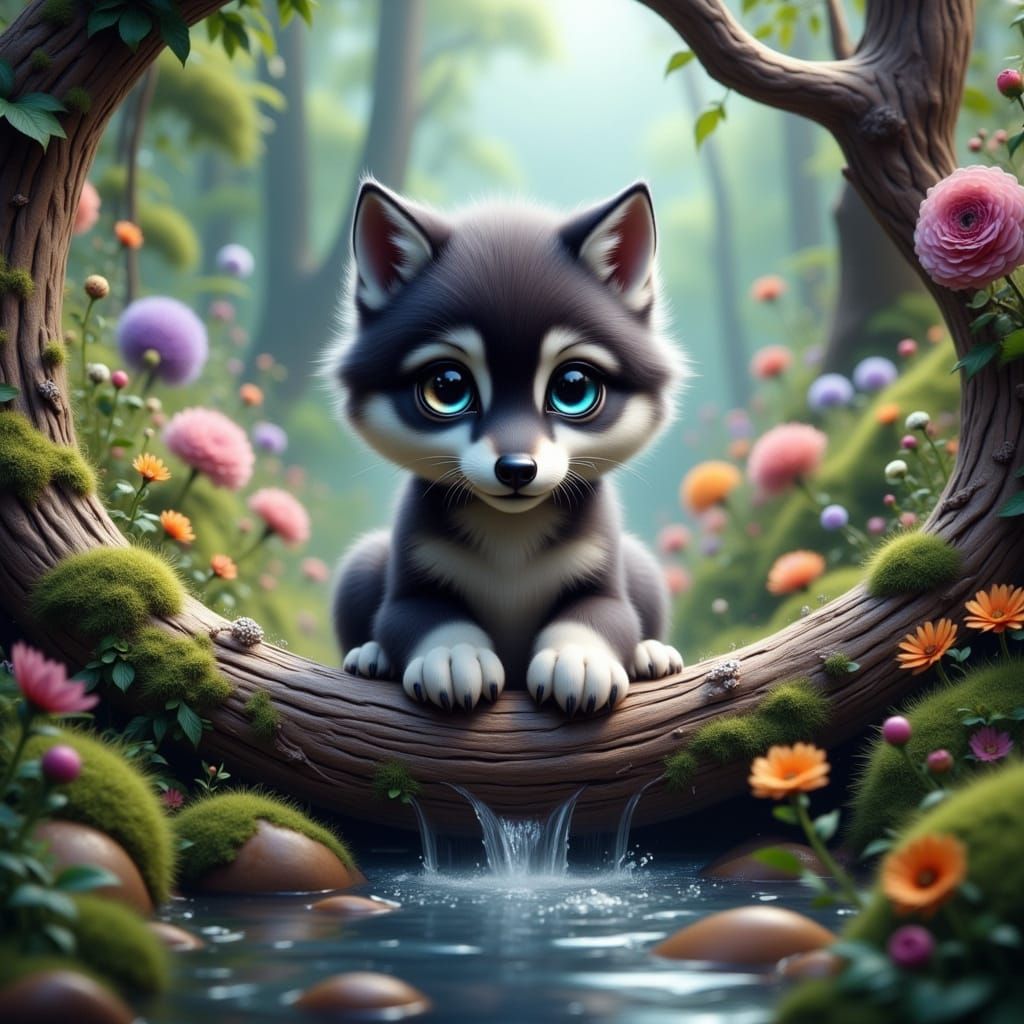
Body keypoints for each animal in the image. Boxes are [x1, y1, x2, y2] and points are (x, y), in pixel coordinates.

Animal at [328, 179, 685, 716]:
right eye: (448, 386)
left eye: (574, 387)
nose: (517, 468)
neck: (510, 534)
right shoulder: (411, 565)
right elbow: (417, 615)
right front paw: (453, 654)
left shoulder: (604, 564)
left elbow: (602, 614)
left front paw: (577, 658)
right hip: (362, 563)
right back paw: (370, 656)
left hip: (641, 564)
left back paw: (651, 654)